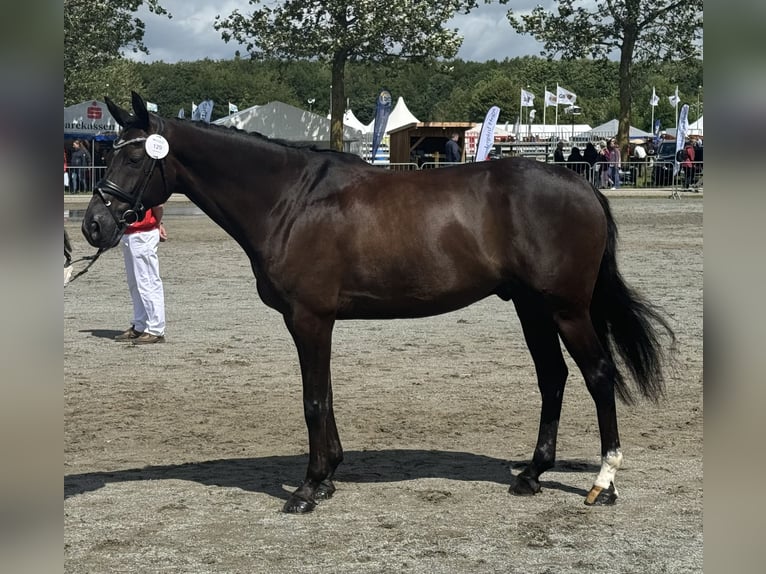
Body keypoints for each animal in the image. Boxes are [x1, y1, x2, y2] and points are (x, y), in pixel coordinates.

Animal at [81, 92, 676, 516]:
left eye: (134, 156)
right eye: (108, 152)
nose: (94, 226)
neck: (290, 200)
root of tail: (581, 185)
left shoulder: (309, 319)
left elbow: (313, 400)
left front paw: (308, 488)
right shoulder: (316, 322)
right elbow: (324, 397)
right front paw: (327, 479)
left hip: (567, 309)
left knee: (598, 374)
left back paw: (603, 483)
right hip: (531, 308)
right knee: (553, 377)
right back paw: (531, 475)